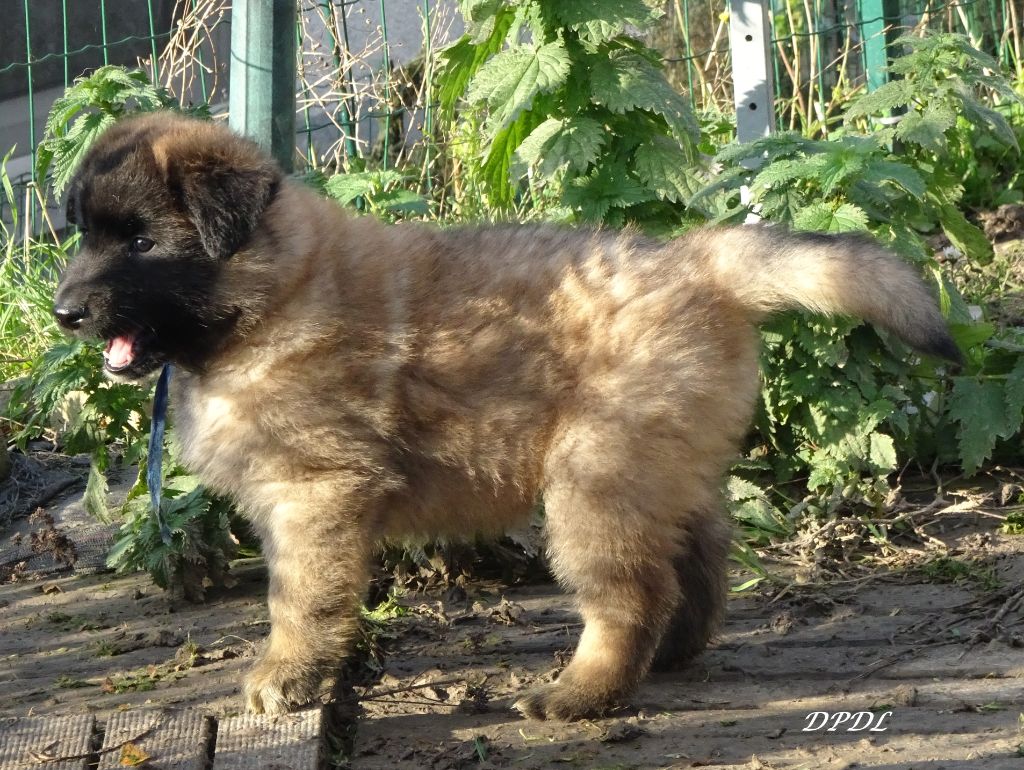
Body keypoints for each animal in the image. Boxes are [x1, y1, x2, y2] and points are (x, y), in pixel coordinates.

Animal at [53, 113, 960, 720]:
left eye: (139, 242)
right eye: (84, 235)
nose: (63, 313)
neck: (268, 294)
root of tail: (700, 262)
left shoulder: (315, 494)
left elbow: (299, 601)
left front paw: (288, 677)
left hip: (595, 478)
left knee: (630, 593)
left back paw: (581, 695)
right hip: (663, 461)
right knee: (695, 561)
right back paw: (671, 656)